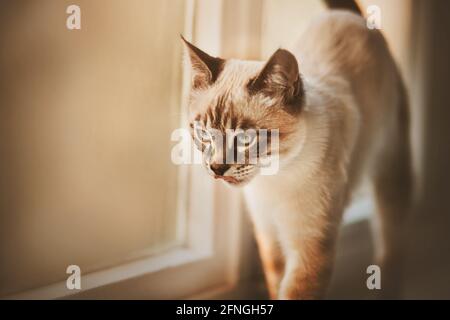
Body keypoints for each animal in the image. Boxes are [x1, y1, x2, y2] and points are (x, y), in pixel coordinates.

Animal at [182, 0, 412, 300]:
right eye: (204, 134)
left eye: (245, 139)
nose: (217, 168)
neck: (274, 178)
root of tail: (350, 17)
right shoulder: (269, 238)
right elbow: (276, 286)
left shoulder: (308, 251)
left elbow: (294, 292)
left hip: (390, 172)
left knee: (391, 242)